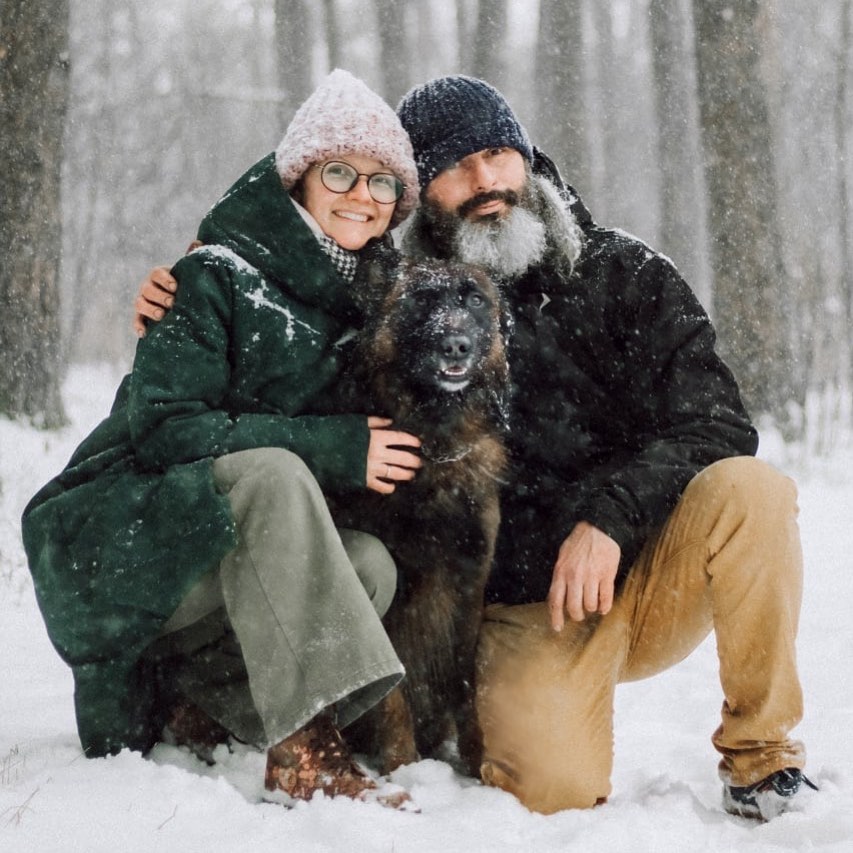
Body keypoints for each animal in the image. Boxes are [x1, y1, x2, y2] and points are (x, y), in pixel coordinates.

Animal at [330, 243, 510, 776]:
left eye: (474, 300)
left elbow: (467, 681)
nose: (456, 346)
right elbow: (392, 697)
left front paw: (478, 767)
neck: (432, 446)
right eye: (421, 300)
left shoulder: (471, 581)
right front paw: (402, 764)